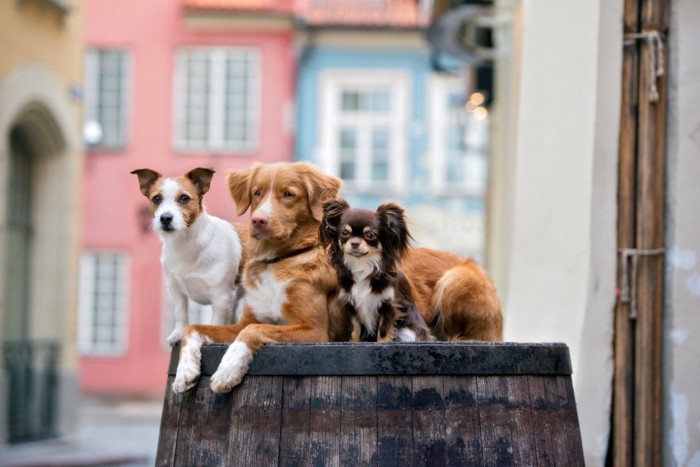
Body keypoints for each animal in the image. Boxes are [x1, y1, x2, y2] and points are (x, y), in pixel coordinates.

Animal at [131, 168, 249, 348]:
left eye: (184, 198)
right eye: (156, 198)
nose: (165, 218)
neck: (185, 244)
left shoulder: (221, 298)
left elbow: (216, 323)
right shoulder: (175, 289)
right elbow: (181, 313)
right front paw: (178, 333)